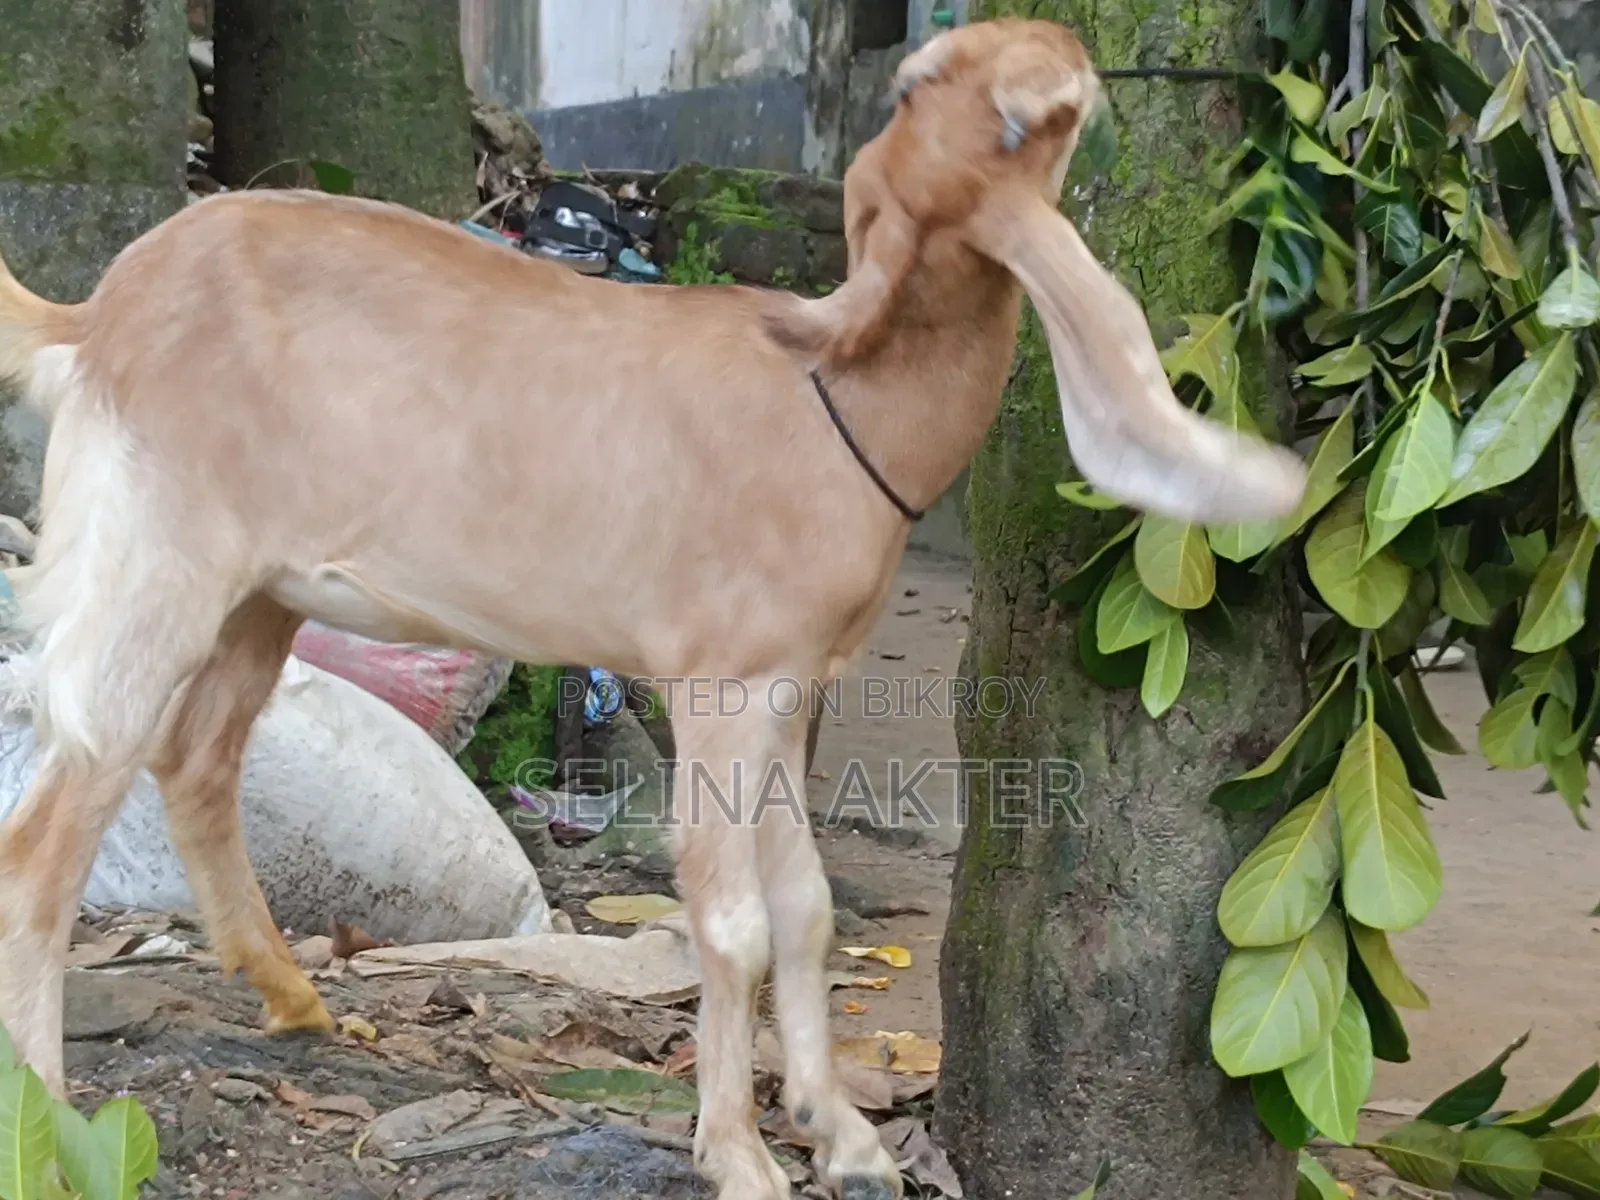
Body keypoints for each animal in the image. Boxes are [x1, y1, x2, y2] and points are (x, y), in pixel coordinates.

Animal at [0, 18, 1305, 1200]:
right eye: (963, 90)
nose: (1066, 46)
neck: (837, 400)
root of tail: (96, 319)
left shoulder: (790, 687)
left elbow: (808, 909)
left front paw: (846, 1138)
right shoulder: (720, 680)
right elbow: (729, 919)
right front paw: (739, 1155)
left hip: (259, 596)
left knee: (197, 762)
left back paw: (294, 998)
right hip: (154, 560)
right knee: (52, 830)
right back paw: (49, 1116)